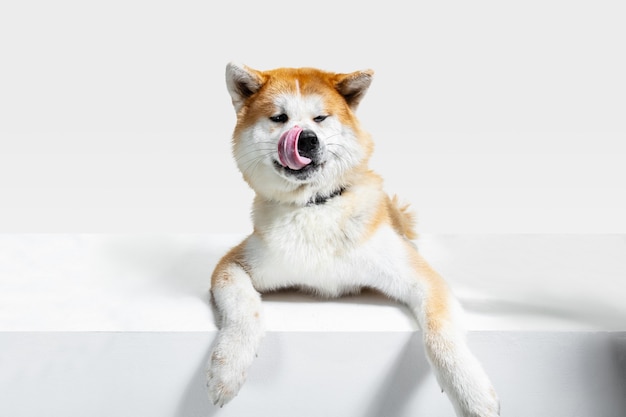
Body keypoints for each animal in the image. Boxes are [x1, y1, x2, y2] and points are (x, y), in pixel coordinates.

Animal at [207, 62, 500, 416]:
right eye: (279, 118)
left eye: (320, 118)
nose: (306, 139)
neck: (316, 206)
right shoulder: (233, 265)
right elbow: (243, 309)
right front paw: (228, 368)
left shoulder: (422, 278)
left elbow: (440, 334)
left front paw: (472, 394)